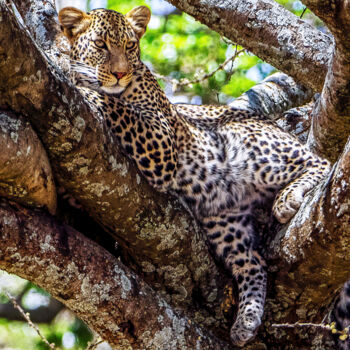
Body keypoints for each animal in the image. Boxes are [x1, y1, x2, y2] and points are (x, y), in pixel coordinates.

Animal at [58, 6, 330, 348]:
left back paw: (287, 199)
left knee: (321, 163)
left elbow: (115, 104)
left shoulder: (161, 138)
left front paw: (77, 81)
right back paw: (246, 322)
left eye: (130, 46)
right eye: (101, 45)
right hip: (222, 218)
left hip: (247, 143)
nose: (120, 74)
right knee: (252, 263)